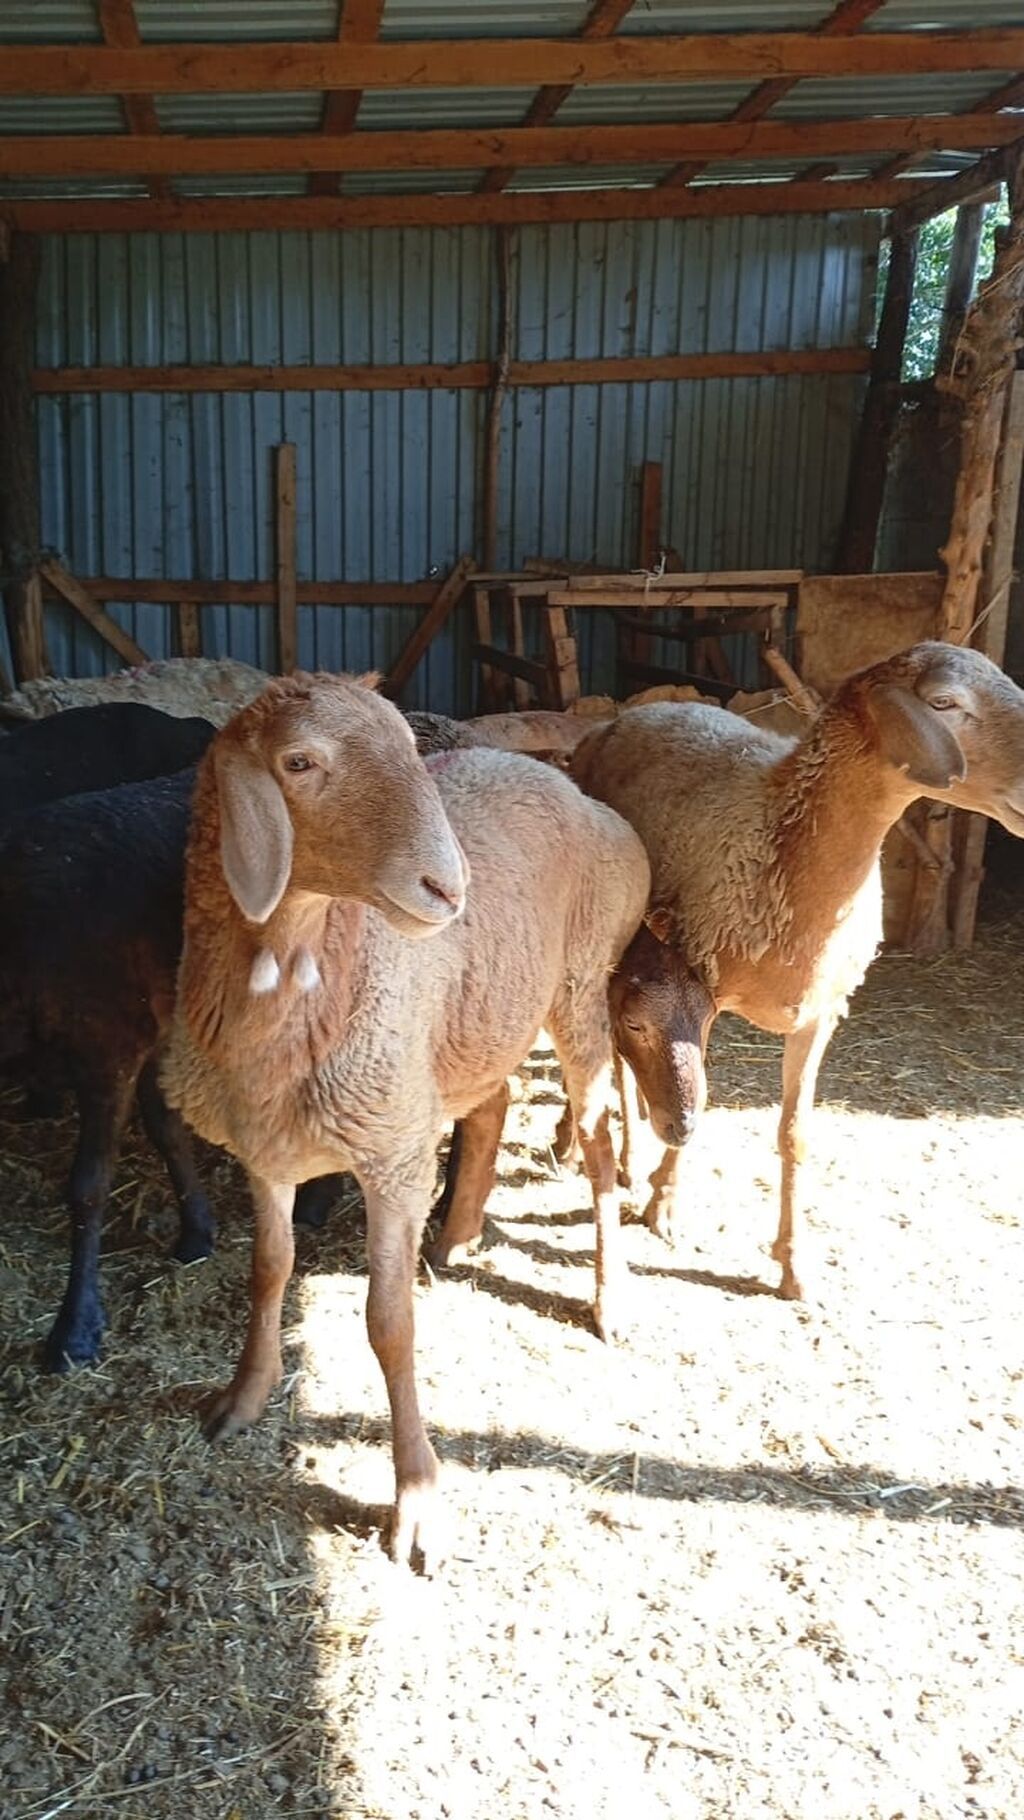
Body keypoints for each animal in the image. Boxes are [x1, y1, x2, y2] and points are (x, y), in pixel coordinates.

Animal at [161, 671, 649, 1566]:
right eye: (299, 761)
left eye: (407, 747)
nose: (449, 887)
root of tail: (567, 782)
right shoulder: (266, 1149)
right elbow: (268, 1271)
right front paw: (244, 1397)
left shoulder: (390, 1153)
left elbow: (389, 1324)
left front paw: (416, 1495)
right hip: (481, 1014)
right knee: (493, 1102)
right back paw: (457, 1234)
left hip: (579, 985)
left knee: (596, 1143)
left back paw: (609, 1298)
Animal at [571, 641, 1024, 1300]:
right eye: (944, 703)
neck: (782, 843)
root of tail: (637, 711)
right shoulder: (701, 986)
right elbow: (690, 1088)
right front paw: (665, 1202)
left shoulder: (821, 1013)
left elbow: (793, 1133)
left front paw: (792, 1264)